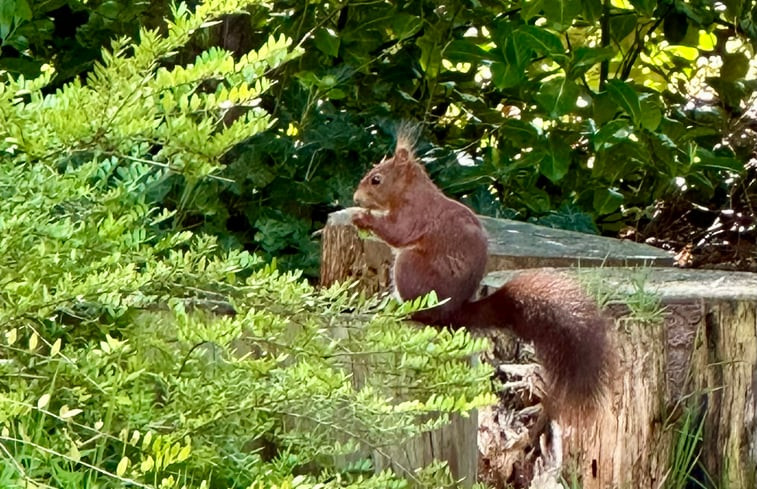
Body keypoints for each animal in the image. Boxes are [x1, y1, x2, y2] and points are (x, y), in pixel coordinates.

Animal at [352, 127, 612, 412]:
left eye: (376, 179)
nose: (355, 199)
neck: (410, 191)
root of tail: (453, 311)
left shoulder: (414, 214)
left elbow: (397, 232)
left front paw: (362, 218)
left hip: (409, 267)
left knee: (422, 313)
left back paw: (400, 311)